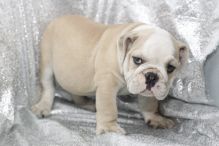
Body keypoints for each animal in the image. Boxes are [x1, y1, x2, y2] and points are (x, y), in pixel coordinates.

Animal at [31, 15, 189, 135]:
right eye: (137, 60)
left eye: (170, 68)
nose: (151, 76)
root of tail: (58, 18)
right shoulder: (107, 85)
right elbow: (109, 108)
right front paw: (109, 129)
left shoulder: (147, 93)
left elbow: (149, 104)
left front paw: (155, 118)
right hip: (47, 62)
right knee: (48, 87)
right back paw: (43, 107)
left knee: (75, 91)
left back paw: (87, 104)